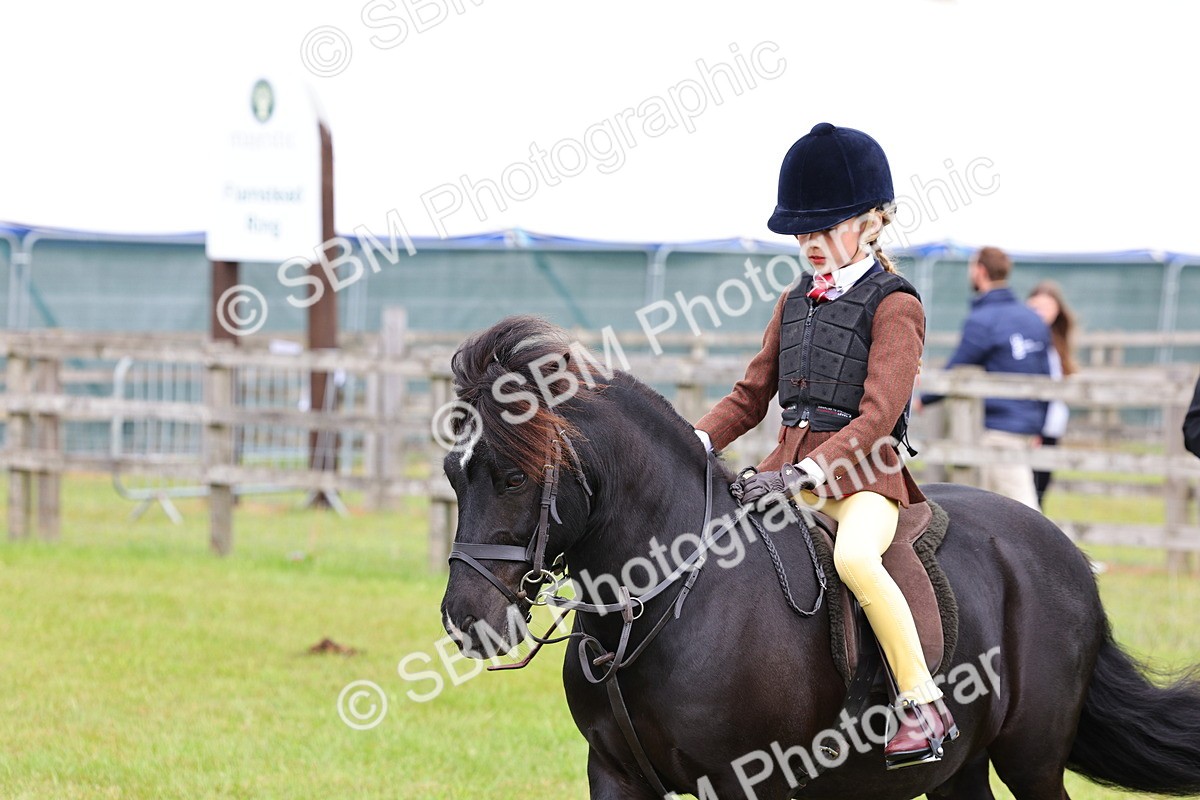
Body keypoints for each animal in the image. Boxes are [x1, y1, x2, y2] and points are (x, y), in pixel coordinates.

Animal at [439, 315, 1200, 800]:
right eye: (453, 473)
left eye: (514, 477)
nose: (466, 621)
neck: (662, 605)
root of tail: (1066, 556)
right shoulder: (616, 777)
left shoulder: (744, 781)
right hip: (961, 767)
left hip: (1033, 760)